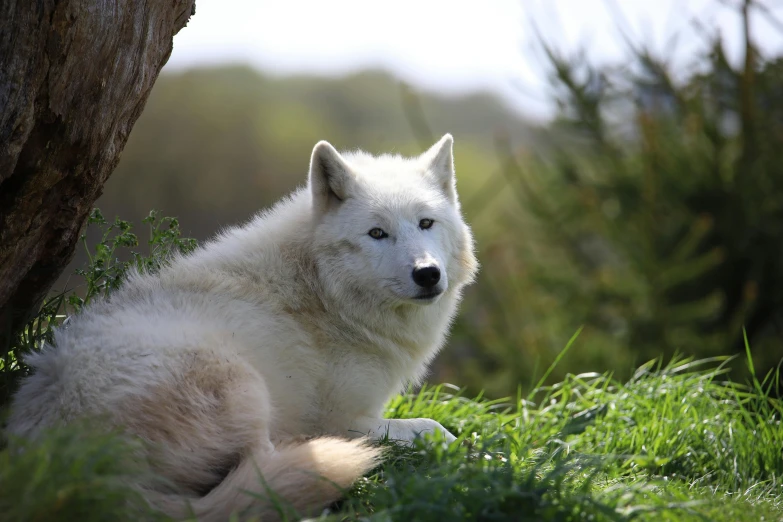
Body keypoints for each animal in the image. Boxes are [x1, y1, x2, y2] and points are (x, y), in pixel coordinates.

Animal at [6, 133, 480, 516]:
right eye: (377, 233)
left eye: (425, 223)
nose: (427, 274)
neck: (323, 292)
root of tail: (91, 475)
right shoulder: (343, 418)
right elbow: (433, 428)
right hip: (241, 382)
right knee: (263, 472)